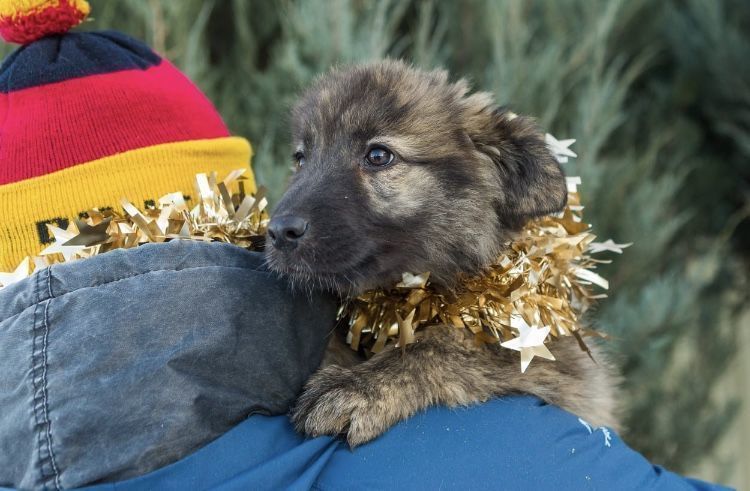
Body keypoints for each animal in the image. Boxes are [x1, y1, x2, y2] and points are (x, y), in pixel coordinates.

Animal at [268, 59, 620, 448]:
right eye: (301, 159)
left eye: (378, 156)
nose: (278, 232)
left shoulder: (559, 366)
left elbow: (451, 342)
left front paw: (357, 387)